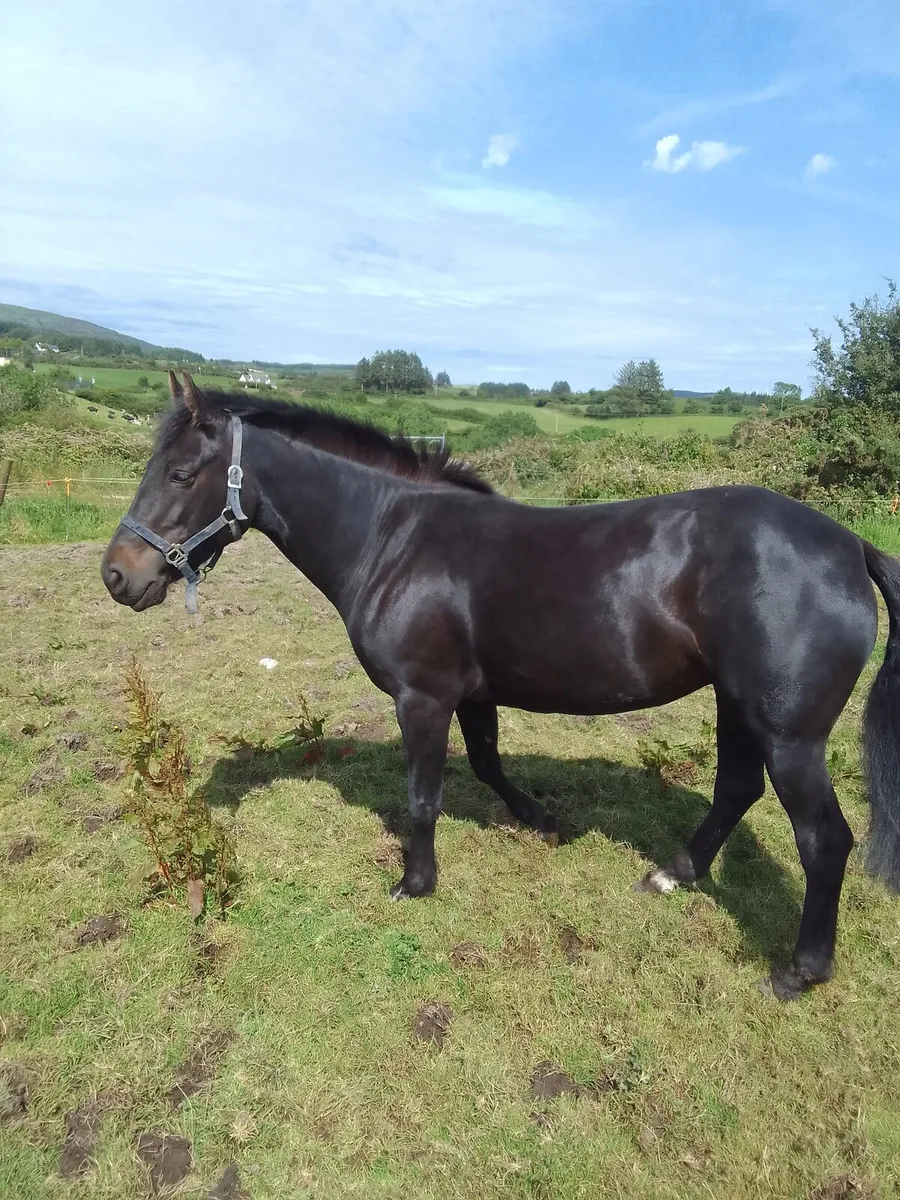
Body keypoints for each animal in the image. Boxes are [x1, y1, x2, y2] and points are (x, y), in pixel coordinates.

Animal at [101, 372, 900, 1000]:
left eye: (181, 475)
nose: (118, 576)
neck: (396, 538)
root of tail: (849, 547)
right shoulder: (474, 693)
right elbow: (487, 763)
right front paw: (543, 821)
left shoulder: (423, 698)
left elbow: (423, 797)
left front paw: (415, 883)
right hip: (738, 706)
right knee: (735, 789)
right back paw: (674, 874)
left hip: (790, 734)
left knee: (824, 840)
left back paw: (800, 971)